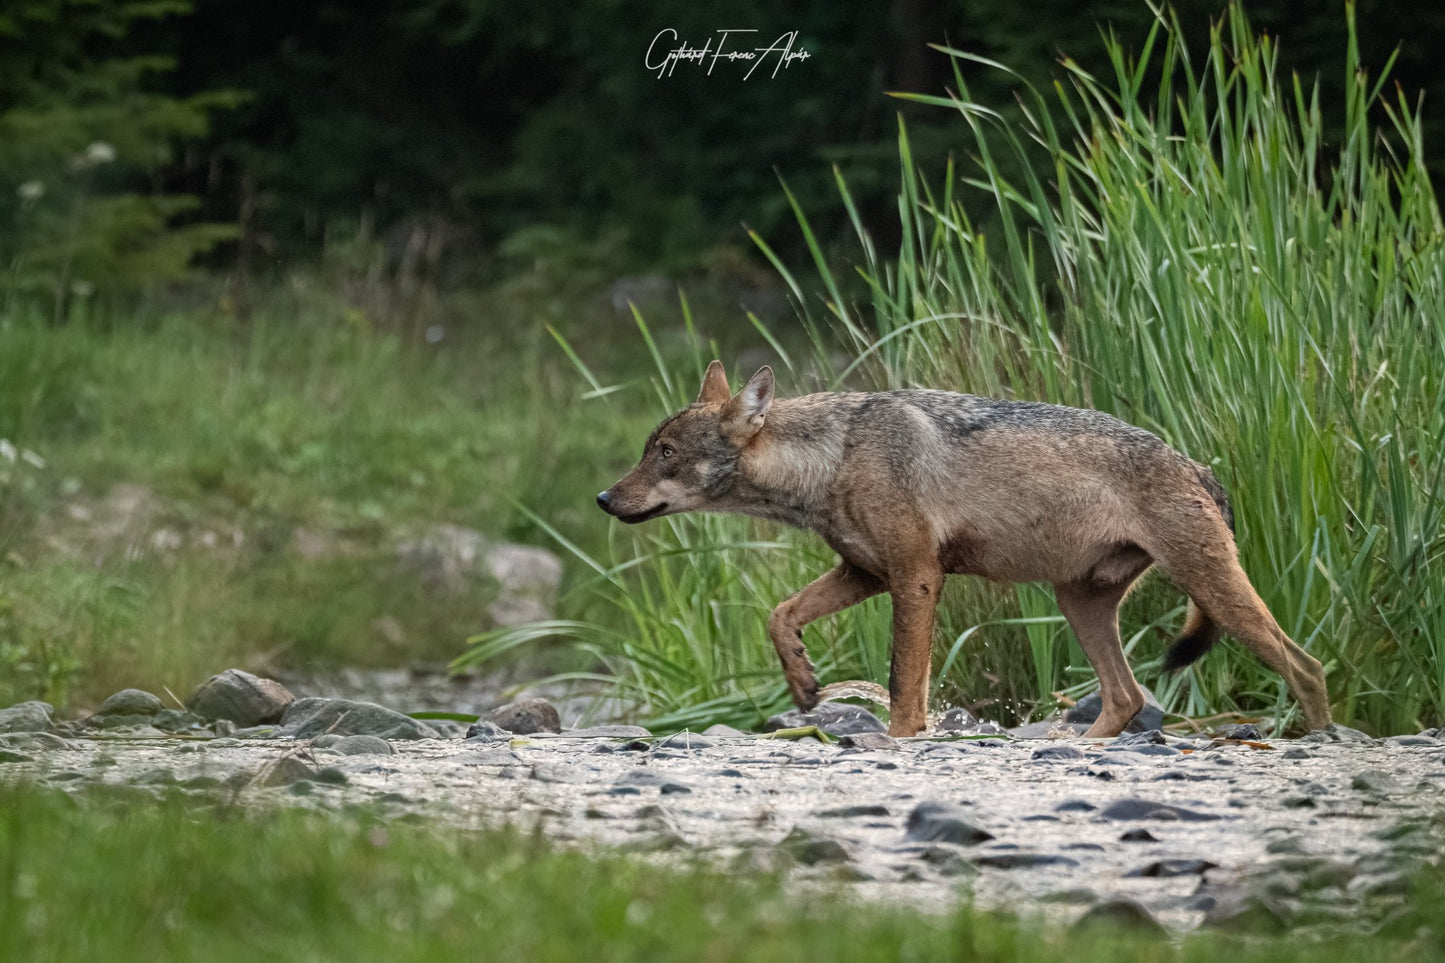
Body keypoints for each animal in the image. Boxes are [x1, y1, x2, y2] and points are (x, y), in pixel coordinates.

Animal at [598, 360, 1329, 734]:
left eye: (665, 454)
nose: (605, 498)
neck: (832, 456)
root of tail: (1198, 465)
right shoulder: (863, 572)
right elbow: (779, 614)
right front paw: (803, 683)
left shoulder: (915, 577)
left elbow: (902, 686)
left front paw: (900, 742)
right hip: (1080, 602)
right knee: (1124, 698)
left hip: (1214, 595)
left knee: (1307, 666)